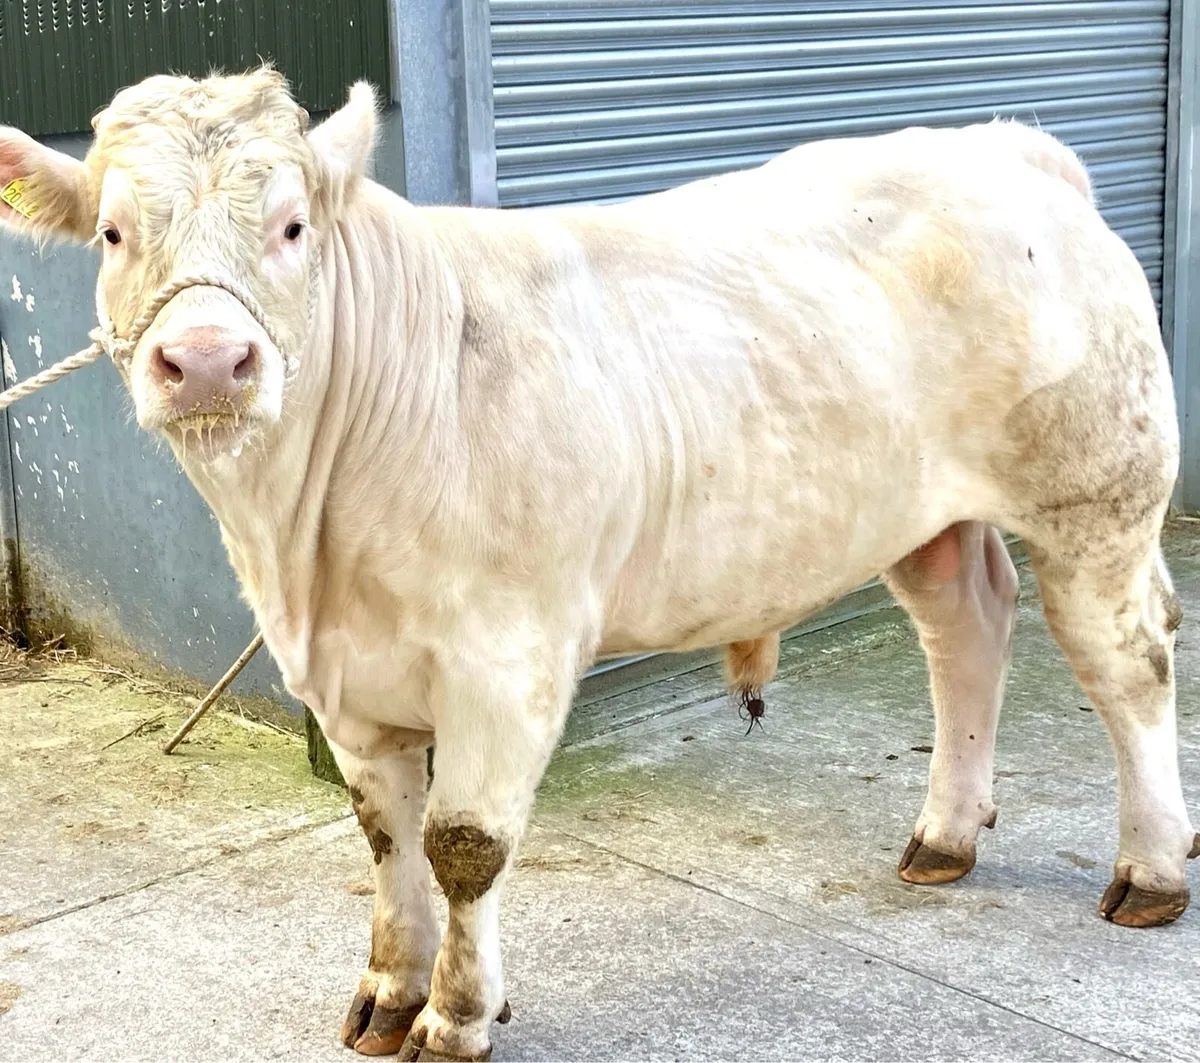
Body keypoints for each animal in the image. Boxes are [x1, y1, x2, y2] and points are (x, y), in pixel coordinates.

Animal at [1, 68, 1196, 1061]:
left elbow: (463, 845)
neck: (308, 554)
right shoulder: (344, 673)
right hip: (921, 517)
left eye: (293, 226)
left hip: (1098, 495)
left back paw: (1149, 869)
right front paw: (388, 992)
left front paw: (457, 1015)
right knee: (966, 629)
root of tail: (1006, 148)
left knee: (1129, 665)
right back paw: (946, 833)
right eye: (112, 231)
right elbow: (386, 836)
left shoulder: (508, 658)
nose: (208, 360)